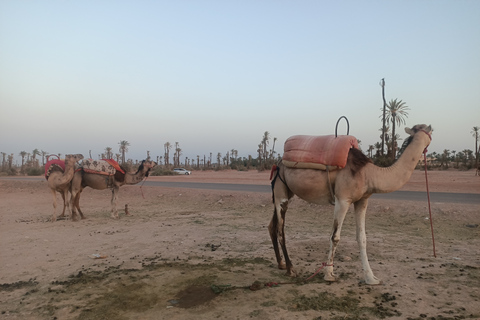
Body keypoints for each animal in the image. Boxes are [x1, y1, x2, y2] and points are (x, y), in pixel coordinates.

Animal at [270, 124, 432, 284]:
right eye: (426, 129)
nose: (430, 128)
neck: (369, 174)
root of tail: (278, 162)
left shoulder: (362, 200)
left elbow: (362, 238)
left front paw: (371, 278)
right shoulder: (343, 199)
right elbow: (335, 237)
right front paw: (329, 274)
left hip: (286, 191)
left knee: (272, 225)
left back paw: (281, 264)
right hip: (280, 189)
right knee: (280, 229)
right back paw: (291, 269)